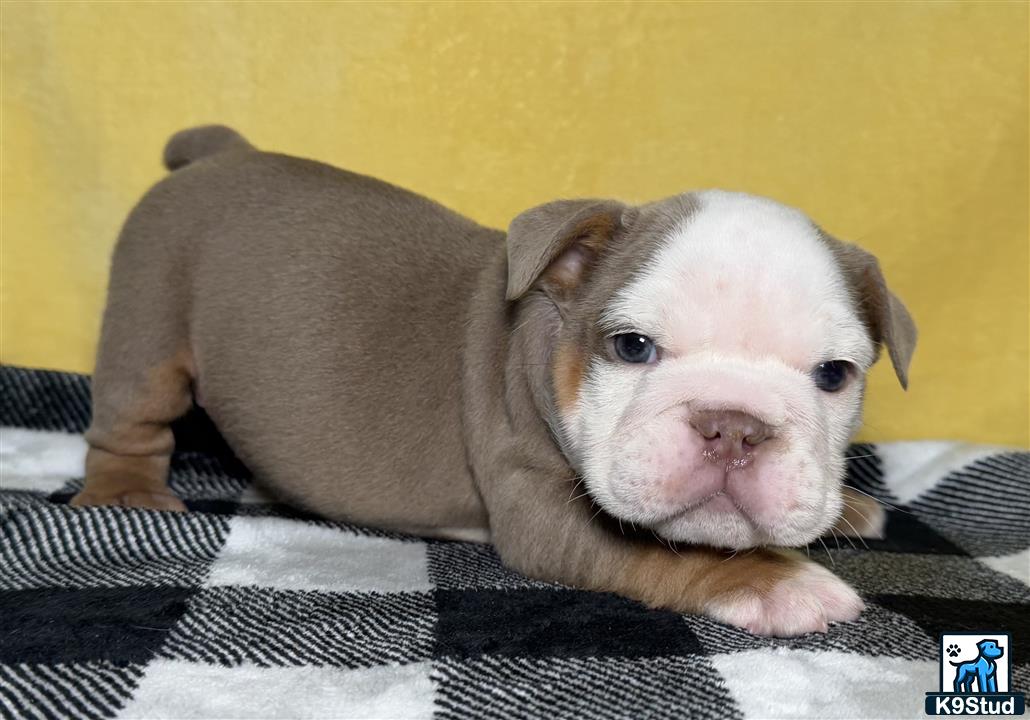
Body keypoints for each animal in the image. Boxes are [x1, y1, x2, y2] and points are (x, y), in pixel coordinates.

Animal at [78, 124, 918, 634]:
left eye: (835, 374)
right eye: (632, 347)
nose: (734, 425)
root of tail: (221, 150)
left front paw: (844, 511)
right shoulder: (541, 510)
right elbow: (670, 551)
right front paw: (780, 582)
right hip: (149, 315)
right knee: (130, 419)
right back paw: (125, 492)